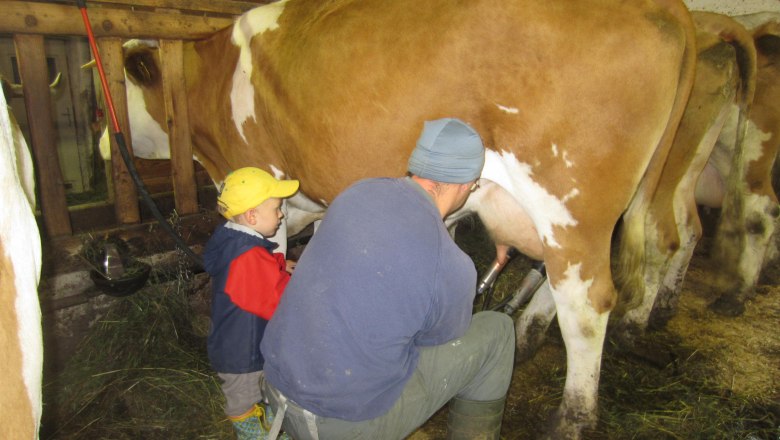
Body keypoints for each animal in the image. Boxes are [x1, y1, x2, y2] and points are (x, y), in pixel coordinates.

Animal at [103, 0, 696, 436]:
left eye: (118, 87)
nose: (107, 145)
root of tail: (661, 6)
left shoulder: (266, 183)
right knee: (561, 280)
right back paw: (526, 339)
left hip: (571, 201)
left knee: (588, 305)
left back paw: (571, 419)